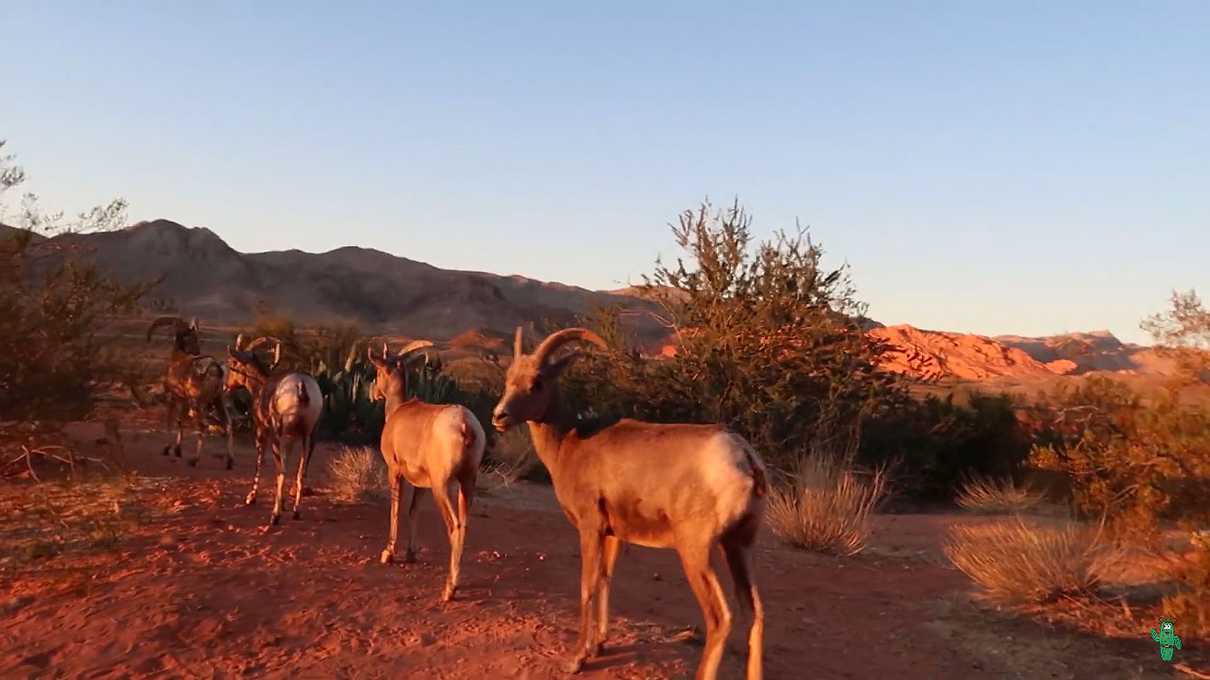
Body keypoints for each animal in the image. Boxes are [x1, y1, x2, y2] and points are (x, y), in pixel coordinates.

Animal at [146, 314, 233, 464]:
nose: (197, 351)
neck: (177, 359)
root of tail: (214, 369)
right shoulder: (184, 401)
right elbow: (181, 422)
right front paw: (178, 450)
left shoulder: (173, 398)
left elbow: (170, 421)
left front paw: (167, 449)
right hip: (218, 401)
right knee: (227, 425)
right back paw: (229, 462)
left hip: (197, 403)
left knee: (203, 426)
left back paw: (194, 460)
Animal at [223, 333, 321, 525]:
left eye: (233, 363)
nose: (226, 386)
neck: (261, 386)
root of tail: (301, 385)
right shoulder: (291, 438)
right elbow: (287, 462)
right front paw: (283, 504)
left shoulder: (261, 431)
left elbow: (260, 461)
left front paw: (251, 497)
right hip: (307, 436)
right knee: (300, 473)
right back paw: (296, 511)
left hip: (277, 435)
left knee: (281, 471)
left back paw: (275, 515)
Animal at [365, 338, 484, 597]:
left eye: (378, 371)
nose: (372, 393)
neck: (398, 412)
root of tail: (465, 425)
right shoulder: (422, 483)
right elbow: (413, 510)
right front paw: (410, 554)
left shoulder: (394, 471)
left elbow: (396, 508)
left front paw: (388, 554)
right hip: (466, 483)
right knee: (465, 525)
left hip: (442, 487)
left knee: (455, 527)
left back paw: (450, 588)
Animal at [491, 326, 764, 672]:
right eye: (509, 378)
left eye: (537, 381)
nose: (499, 416)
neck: (570, 444)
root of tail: (744, 457)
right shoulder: (613, 534)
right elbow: (605, 579)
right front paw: (598, 646)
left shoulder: (590, 528)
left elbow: (587, 586)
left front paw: (577, 659)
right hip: (739, 546)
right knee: (755, 614)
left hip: (697, 552)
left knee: (720, 618)